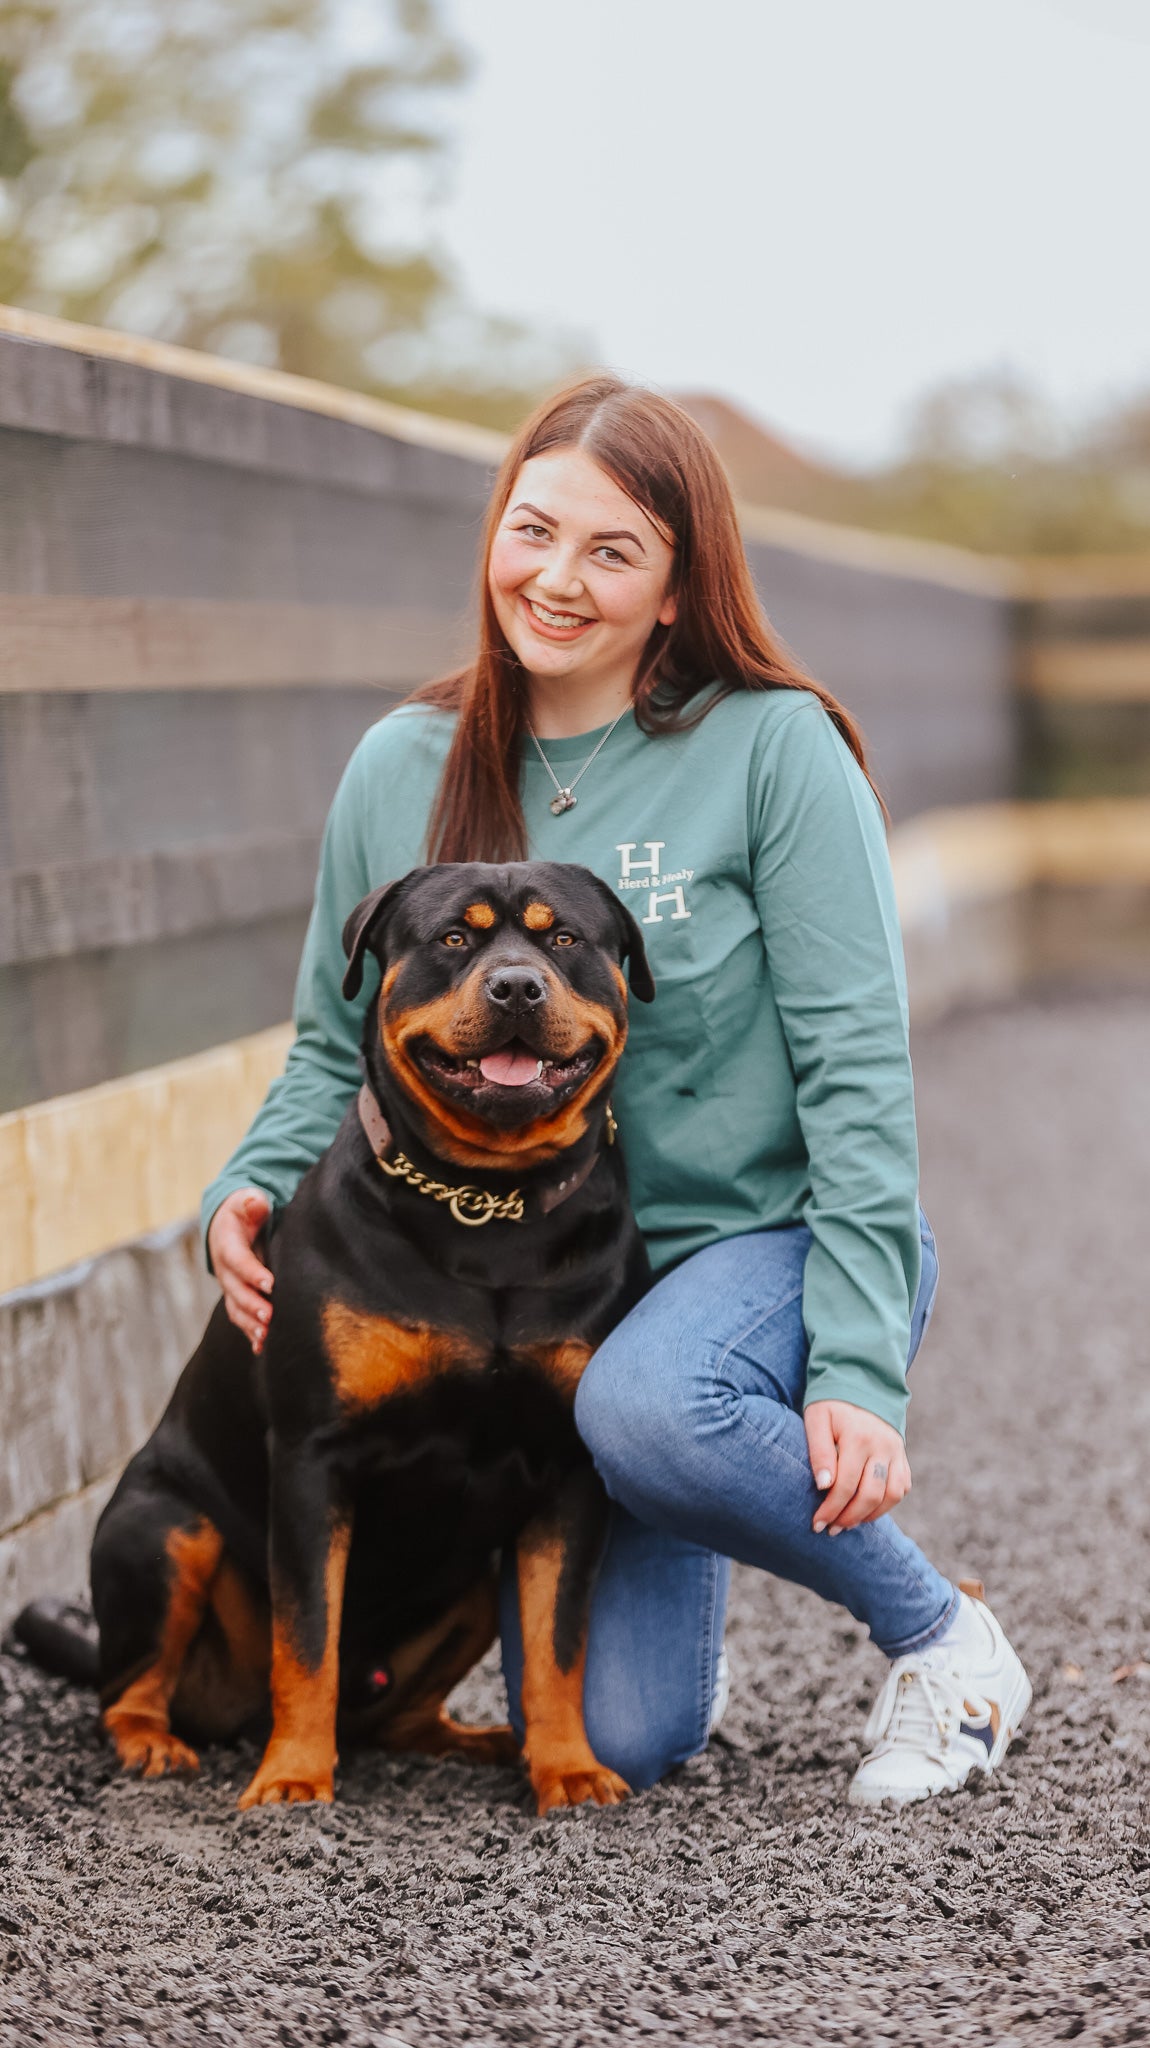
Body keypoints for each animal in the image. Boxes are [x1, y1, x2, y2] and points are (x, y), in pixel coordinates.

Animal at [13, 856, 654, 1818]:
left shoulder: (568, 1469)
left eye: (565, 938)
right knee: (127, 1686)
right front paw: (292, 1779)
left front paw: (568, 1768)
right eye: (454, 938)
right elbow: (307, 1637)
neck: (488, 1204)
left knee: (403, 1716)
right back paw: (154, 1744)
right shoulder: (315, 1457)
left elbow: (557, 1643)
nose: (516, 985)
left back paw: (482, 1740)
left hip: (472, 1583)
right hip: (161, 1528)